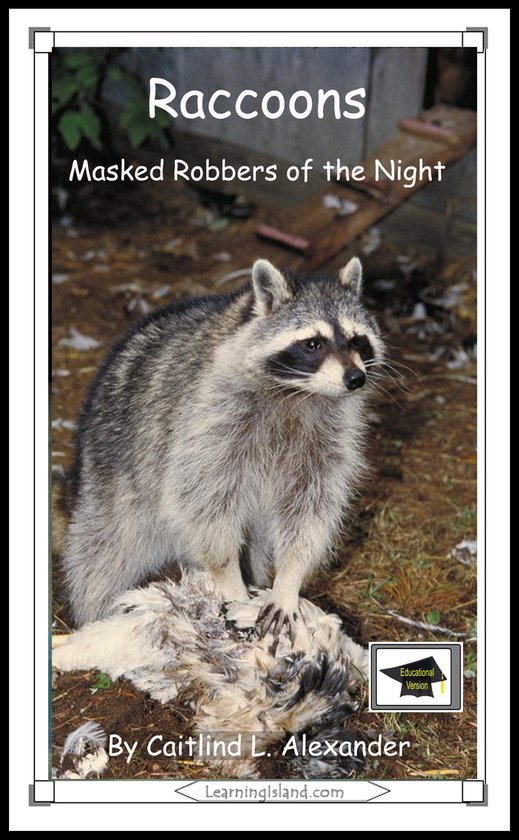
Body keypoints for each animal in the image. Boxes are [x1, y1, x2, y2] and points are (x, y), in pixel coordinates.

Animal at [62, 257, 384, 636]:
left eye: (356, 339)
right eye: (313, 344)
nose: (355, 378)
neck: (298, 392)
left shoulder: (329, 437)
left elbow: (311, 507)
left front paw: (288, 579)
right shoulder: (208, 418)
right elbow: (201, 502)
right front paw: (230, 579)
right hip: (112, 468)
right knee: (103, 551)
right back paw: (96, 613)